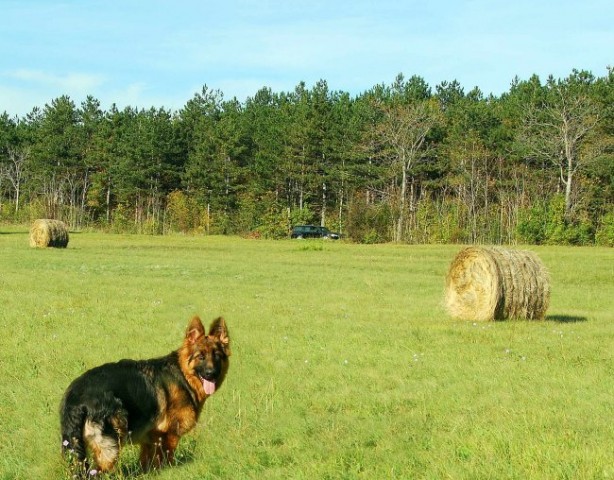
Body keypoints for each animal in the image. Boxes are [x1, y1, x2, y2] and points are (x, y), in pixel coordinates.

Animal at [60, 316, 231, 472]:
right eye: (200, 357)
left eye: (217, 356)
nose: (211, 374)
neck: (183, 375)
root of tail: (75, 397)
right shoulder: (169, 436)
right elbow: (166, 460)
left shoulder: (150, 439)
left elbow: (147, 463)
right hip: (111, 446)